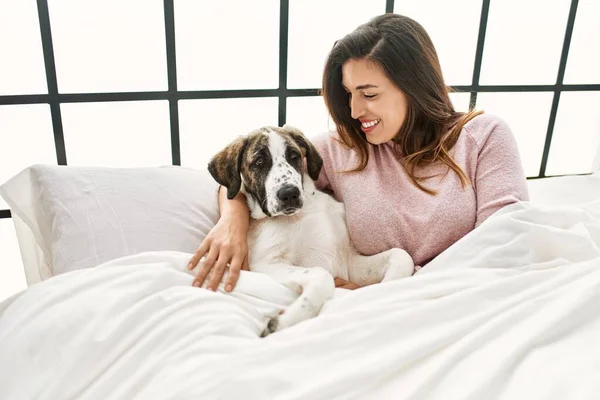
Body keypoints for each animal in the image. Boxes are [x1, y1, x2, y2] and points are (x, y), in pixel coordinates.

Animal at [206, 123, 412, 336]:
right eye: (259, 162)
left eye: (294, 156)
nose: (289, 194)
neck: (300, 214)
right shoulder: (267, 264)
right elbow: (322, 275)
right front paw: (285, 321)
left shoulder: (349, 261)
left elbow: (401, 254)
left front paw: (387, 287)